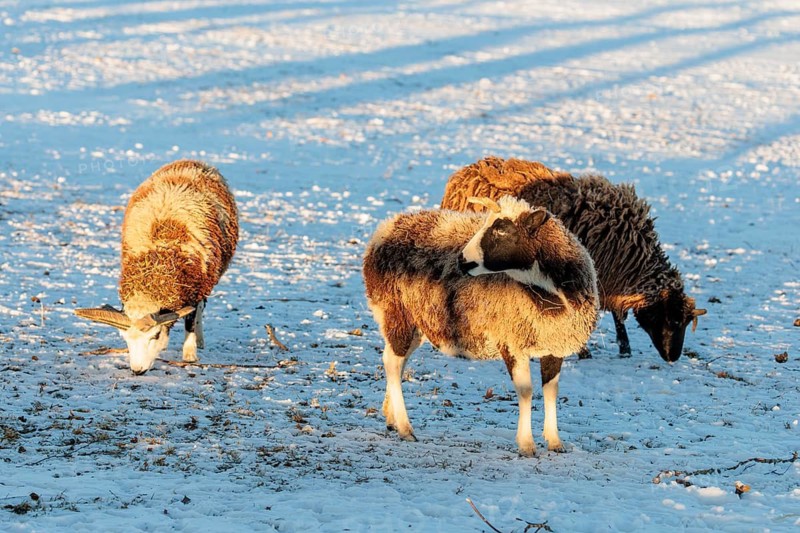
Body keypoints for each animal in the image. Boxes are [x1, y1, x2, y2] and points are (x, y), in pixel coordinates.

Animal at [75, 159, 239, 375]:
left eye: (155, 336)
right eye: (126, 339)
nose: (137, 370)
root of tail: (193, 161)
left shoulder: (195, 286)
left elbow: (191, 319)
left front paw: (190, 354)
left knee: (201, 308)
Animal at [363, 195, 598, 456]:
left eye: (502, 229)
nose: (462, 260)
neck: (551, 295)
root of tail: (385, 228)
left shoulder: (554, 344)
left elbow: (551, 391)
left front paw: (555, 441)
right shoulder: (511, 341)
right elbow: (525, 391)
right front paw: (526, 445)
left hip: (415, 322)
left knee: (396, 361)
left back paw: (391, 418)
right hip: (395, 311)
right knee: (393, 364)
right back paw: (405, 428)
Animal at [441, 156, 707, 362]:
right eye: (672, 320)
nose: (673, 358)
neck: (632, 255)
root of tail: (461, 174)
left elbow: (617, 315)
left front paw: (624, 348)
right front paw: (583, 349)